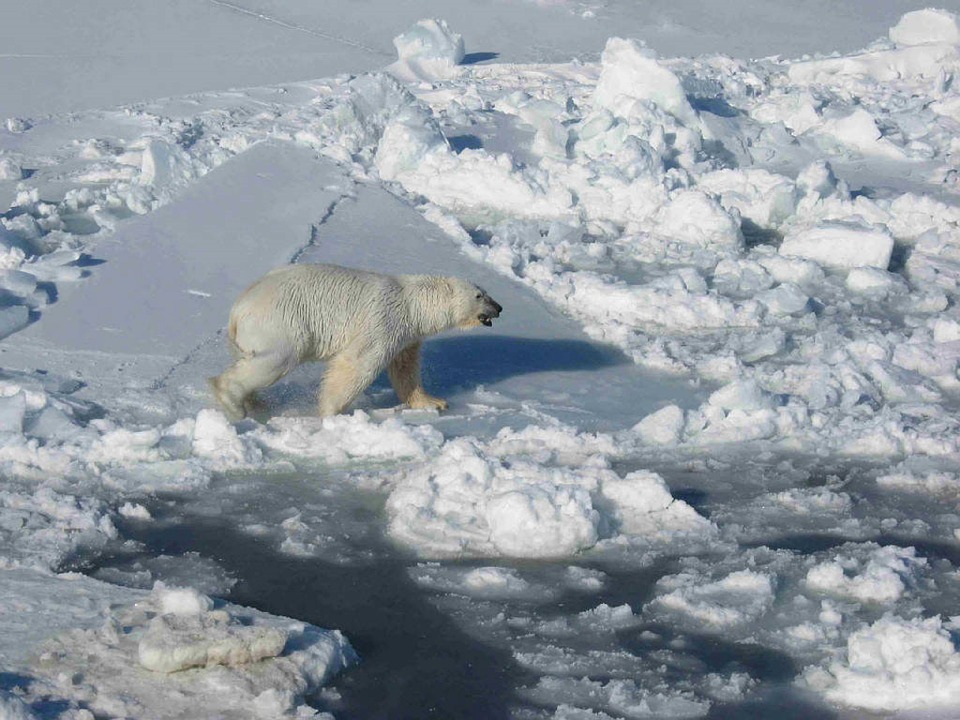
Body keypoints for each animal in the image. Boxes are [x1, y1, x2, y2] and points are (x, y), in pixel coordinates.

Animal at [209, 262, 502, 422]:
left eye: (486, 292)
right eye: (479, 295)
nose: (499, 307)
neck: (412, 302)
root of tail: (238, 310)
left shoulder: (407, 335)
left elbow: (405, 369)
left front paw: (434, 402)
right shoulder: (384, 319)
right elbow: (360, 362)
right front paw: (331, 411)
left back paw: (256, 405)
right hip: (282, 322)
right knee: (277, 358)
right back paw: (232, 401)